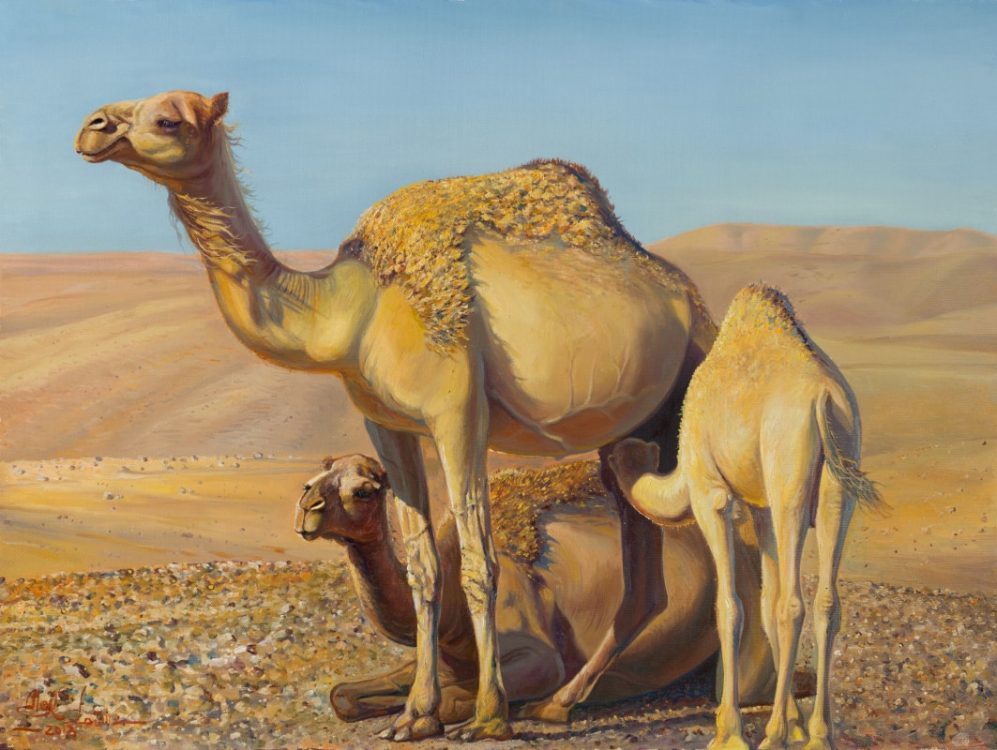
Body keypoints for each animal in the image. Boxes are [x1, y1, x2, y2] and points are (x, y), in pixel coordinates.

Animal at [76, 89, 718, 741]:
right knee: (644, 584)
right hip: (630, 436)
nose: (91, 128)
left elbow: (479, 564)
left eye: (167, 119)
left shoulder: (458, 412)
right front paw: (416, 715)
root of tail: (689, 297)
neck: (351, 310)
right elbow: (424, 568)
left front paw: (488, 717)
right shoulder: (387, 423)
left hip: (690, 381)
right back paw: (560, 704)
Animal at [293, 454, 777, 725]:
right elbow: (342, 696)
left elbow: (461, 700)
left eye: (363, 491)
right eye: (317, 476)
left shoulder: (538, 656)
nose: (306, 507)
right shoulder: (438, 661)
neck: (454, 615)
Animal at [608, 284, 885, 750]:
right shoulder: (760, 509)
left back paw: (772, 736)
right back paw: (819, 734)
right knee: (825, 601)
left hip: (788, 472)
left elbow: (730, 606)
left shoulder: (711, 493)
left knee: (794, 603)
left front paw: (730, 730)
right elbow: (765, 602)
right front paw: (793, 720)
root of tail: (825, 399)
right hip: (838, 482)